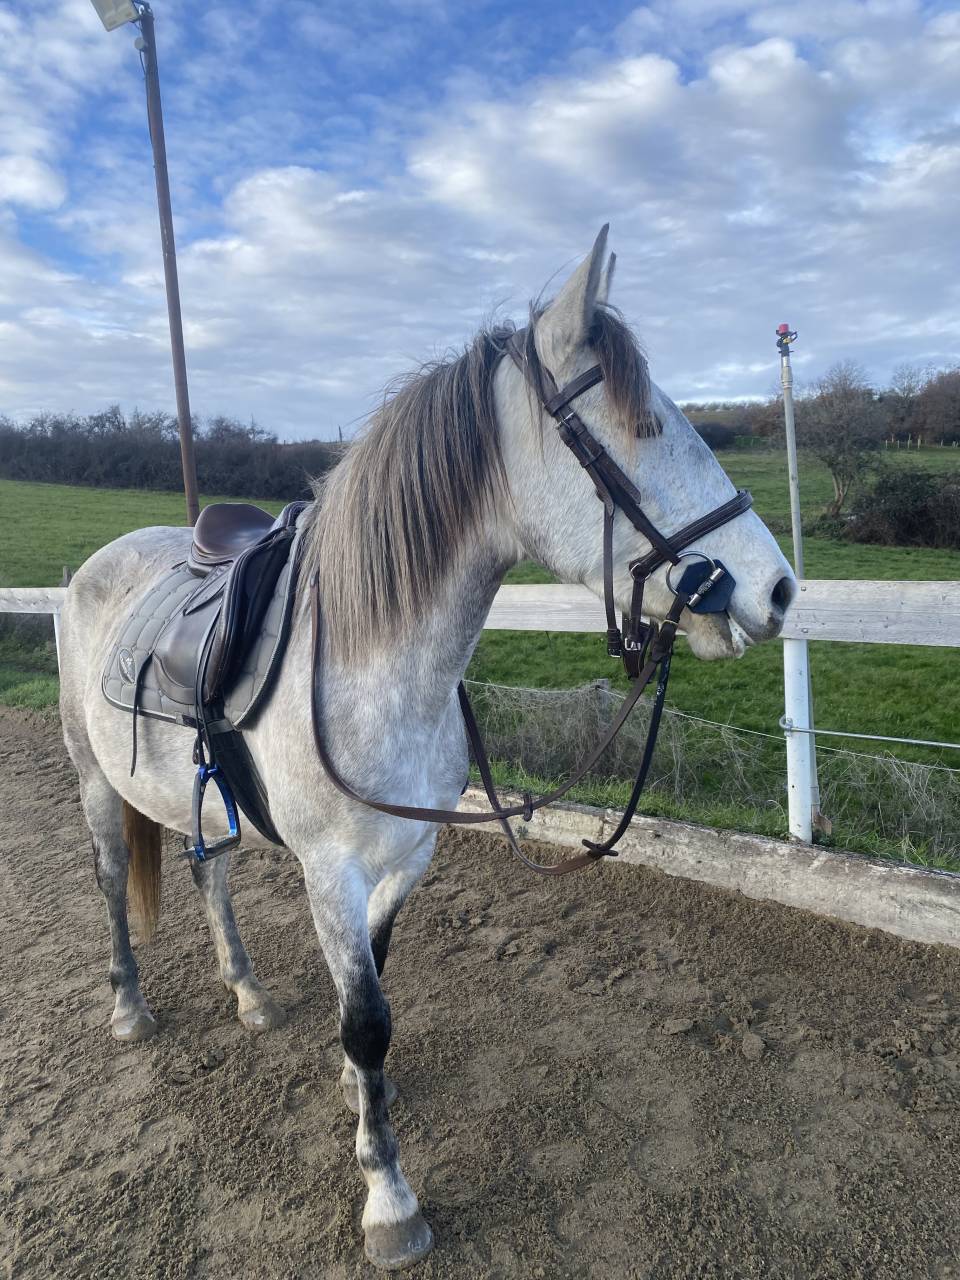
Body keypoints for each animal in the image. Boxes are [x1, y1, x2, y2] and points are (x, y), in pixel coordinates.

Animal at [59, 227, 795, 1270]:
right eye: (647, 425)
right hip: (92, 779)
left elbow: (371, 990)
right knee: (110, 877)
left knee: (211, 876)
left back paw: (248, 993)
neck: (375, 657)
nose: (777, 592)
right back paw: (128, 1006)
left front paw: (359, 1100)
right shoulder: (330, 870)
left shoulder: (408, 855)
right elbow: (367, 1019)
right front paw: (389, 1199)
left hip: (204, 801)